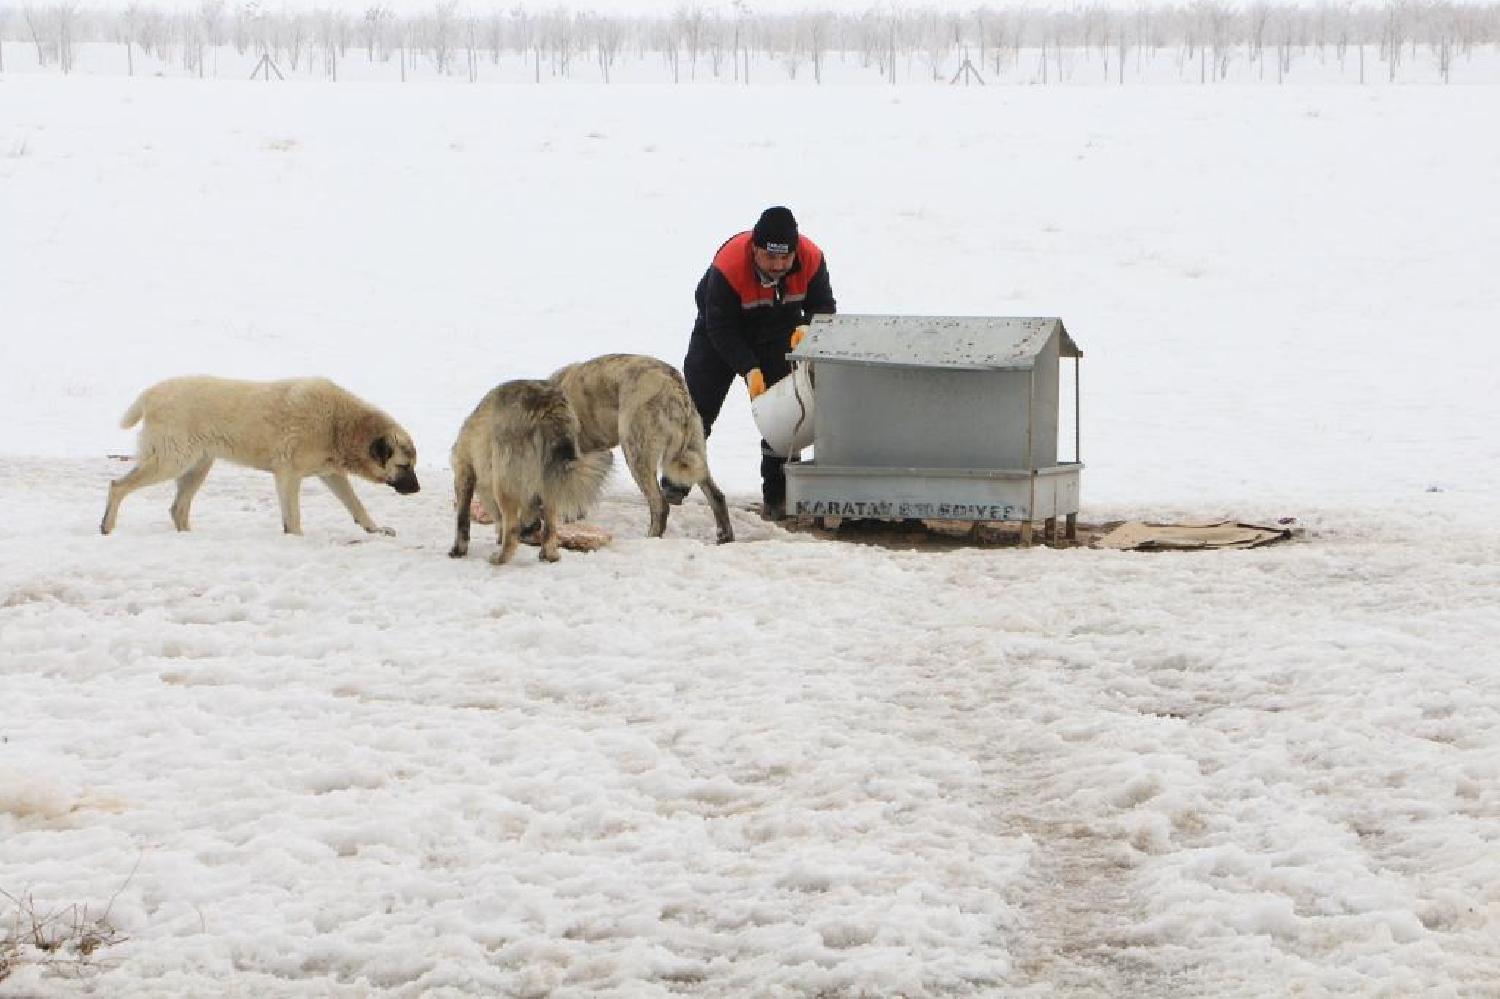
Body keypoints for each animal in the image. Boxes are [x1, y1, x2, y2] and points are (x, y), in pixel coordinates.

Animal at [101, 376, 419, 536]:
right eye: (404, 466)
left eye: (413, 465)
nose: (417, 489)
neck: (340, 425)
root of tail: (149, 394)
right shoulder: (289, 476)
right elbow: (294, 518)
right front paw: (296, 540)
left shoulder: (331, 474)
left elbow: (356, 505)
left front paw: (374, 529)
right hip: (171, 461)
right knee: (118, 486)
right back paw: (106, 527)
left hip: (197, 467)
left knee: (177, 508)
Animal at [448, 379, 613, 565]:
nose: (532, 528)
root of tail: (548, 405)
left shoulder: (463, 471)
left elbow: (462, 519)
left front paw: (458, 550)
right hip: (551, 479)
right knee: (550, 528)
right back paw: (549, 555)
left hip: (504, 486)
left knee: (513, 531)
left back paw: (500, 558)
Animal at [550, 354, 733, 544]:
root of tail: (675, 385)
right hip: (695, 450)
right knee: (717, 496)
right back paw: (725, 536)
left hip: (635, 450)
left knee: (660, 504)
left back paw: (651, 538)